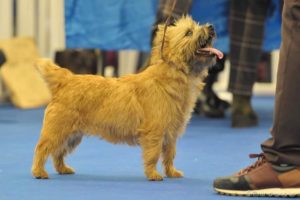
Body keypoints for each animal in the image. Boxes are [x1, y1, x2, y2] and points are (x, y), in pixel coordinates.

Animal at [31, 16, 223, 181]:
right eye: (189, 32)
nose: (211, 27)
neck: (172, 77)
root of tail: (66, 80)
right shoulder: (155, 132)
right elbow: (153, 154)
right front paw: (153, 174)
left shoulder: (171, 133)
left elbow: (169, 155)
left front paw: (172, 172)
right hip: (58, 130)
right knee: (42, 148)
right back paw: (39, 172)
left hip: (72, 135)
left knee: (58, 152)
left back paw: (63, 169)